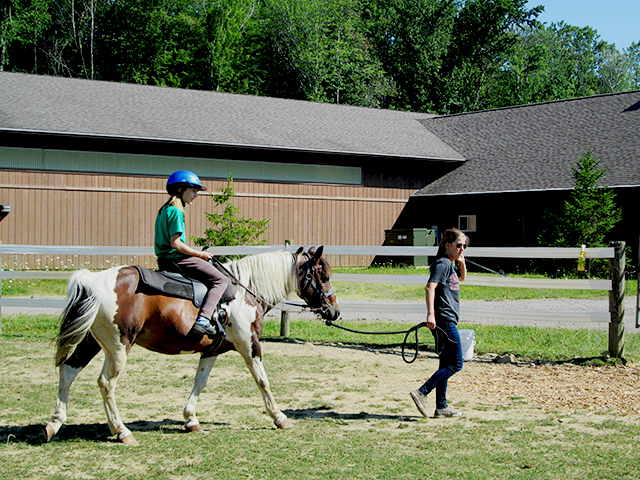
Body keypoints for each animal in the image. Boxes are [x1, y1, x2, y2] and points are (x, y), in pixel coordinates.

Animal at [41, 246, 340, 444]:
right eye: (323, 275)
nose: (334, 311)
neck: (245, 290)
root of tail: (93, 280)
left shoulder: (211, 350)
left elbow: (200, 382)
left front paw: (191, 419)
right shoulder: (249, 345)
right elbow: (263, 381)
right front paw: (279, 417)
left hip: (90, 341)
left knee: (67, 371)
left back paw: (54, 424)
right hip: (117, 347)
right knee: (105, 383)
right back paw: (121, 431)